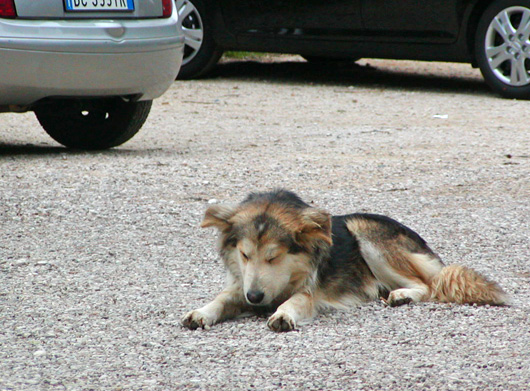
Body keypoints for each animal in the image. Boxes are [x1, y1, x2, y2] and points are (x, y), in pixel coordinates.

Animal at [180, 191, 504, 332]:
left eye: (274, 256)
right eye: (245, 255)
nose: (256, 298)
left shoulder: (310, 292)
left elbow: (295, 301)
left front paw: (283, 314)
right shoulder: (241, 284)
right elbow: (222, 299)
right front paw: (202, 312)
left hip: (365, 234)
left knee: (427, 284)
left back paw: (402, 295)